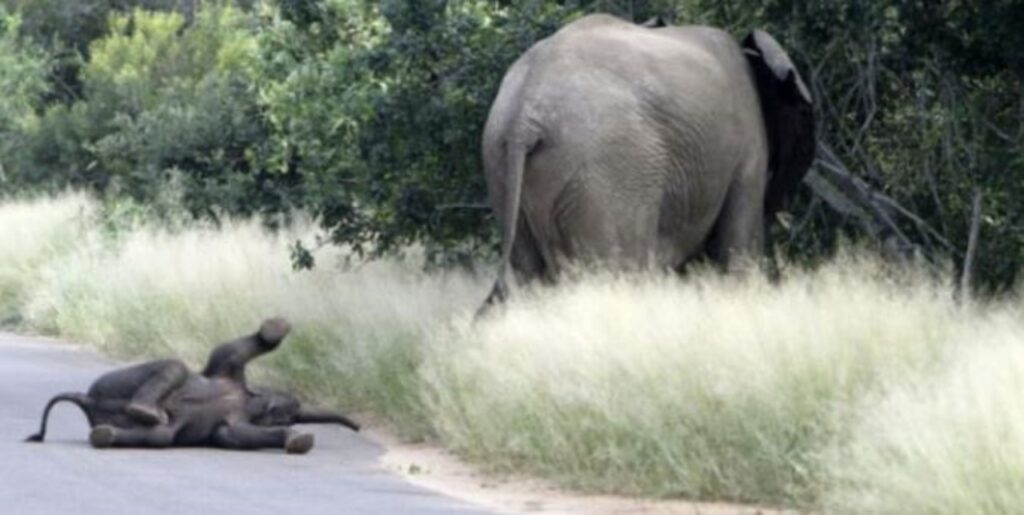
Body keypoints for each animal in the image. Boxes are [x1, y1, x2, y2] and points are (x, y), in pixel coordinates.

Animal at [25, 319, 358, 454]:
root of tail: (87, 401)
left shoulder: (231, 426)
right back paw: (146, 410)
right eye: (294, 410)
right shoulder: (226, 367)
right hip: (110, 382)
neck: (248, 398)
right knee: (176, 366)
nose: (357, 427)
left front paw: (300, 441)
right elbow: (233, 350)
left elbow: (234, 435)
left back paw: (107, 434)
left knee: (161, 436)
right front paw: (277, 327)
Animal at [481, 15, 815, 307]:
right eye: (802, 115)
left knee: (529, 273)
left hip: (501, 165)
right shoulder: (748, 147)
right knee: (621, 268)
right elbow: (739, 245)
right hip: (608, 171)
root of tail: (524, 116)